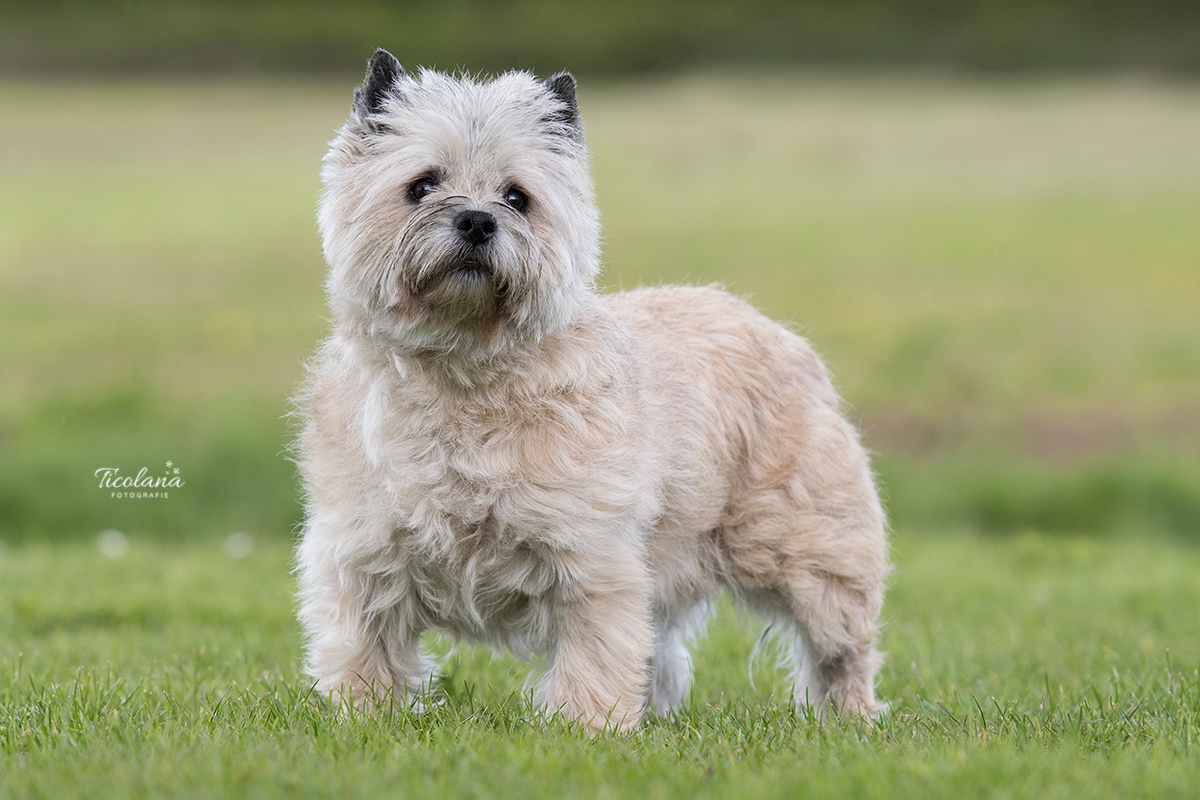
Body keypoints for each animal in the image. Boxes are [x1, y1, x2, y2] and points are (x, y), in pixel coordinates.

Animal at [294, 50, 888, 734]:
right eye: (421, 185)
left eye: (517, 197)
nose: (476, 219)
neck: (461, 373)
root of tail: (777, 331)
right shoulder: (362, 555)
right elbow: (365, 648)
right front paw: (364, 717)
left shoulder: (590, 560)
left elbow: (593, 656)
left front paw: (585, 729)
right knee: (665, 661)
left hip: (810, 554)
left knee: (840, 645)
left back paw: (850, 719)